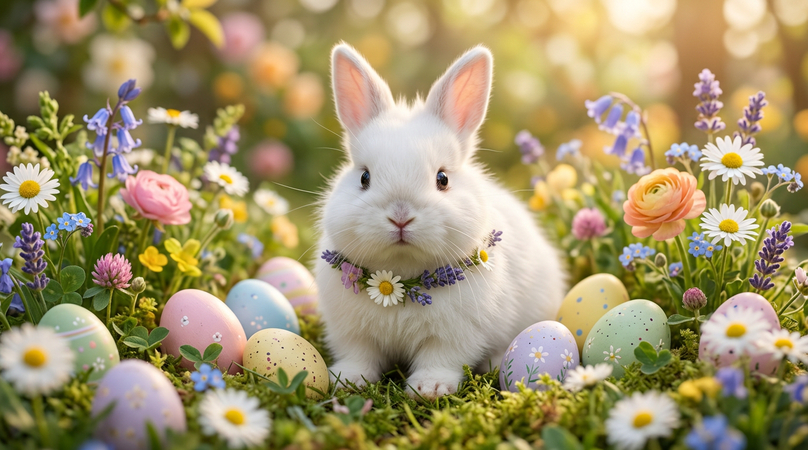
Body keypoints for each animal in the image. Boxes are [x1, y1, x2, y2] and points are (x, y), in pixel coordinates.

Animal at [314, 43, 566, 399]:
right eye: (364, 177)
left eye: (443, 179)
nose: (401, 217)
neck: (400, 278)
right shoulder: (350, 332)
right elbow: (359, 356)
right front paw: (348, 381)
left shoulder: (455, 335)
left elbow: (440, 358)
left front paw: (429, 388)